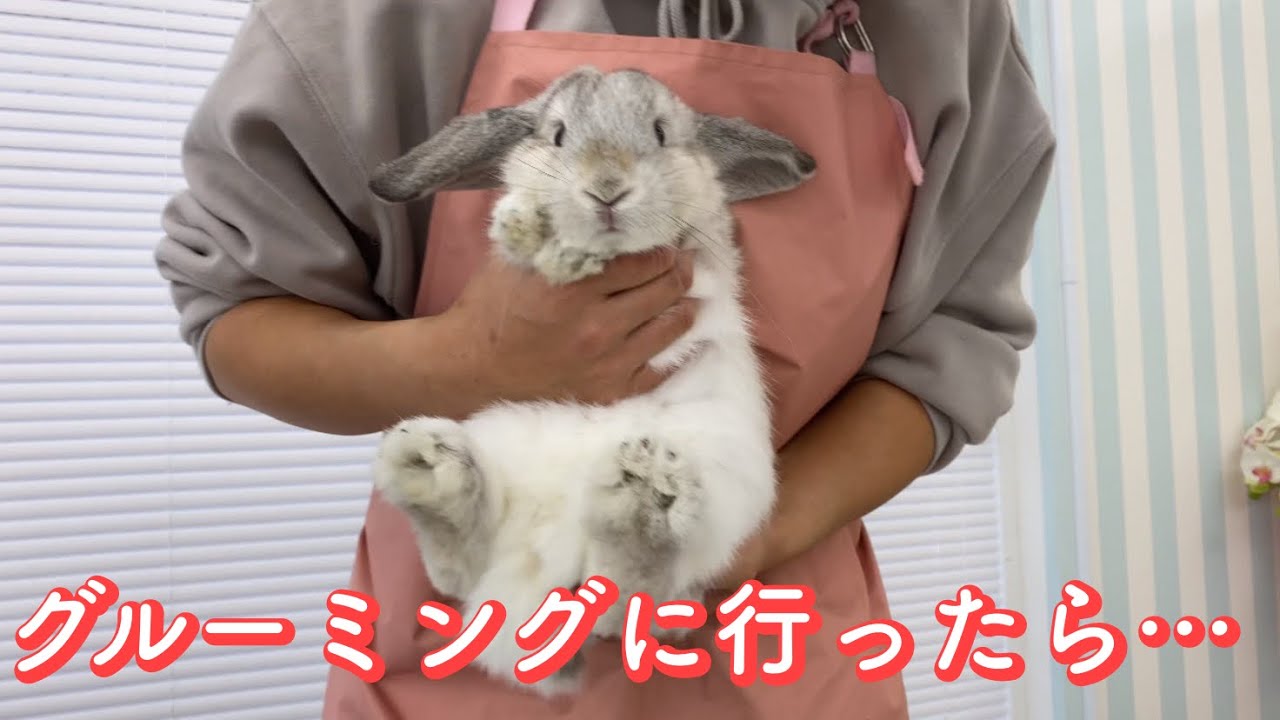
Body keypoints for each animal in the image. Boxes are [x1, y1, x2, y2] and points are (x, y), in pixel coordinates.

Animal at [366, 66, 816, 696]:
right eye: (557, 136)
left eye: (658, 133)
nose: (606, 187)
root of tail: (545, 555)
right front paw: (531, 229)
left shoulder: (704, 252)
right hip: (503, 445)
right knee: (460, 567)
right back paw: (432, 473)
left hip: (724, 494)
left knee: (632, 601)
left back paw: (642, 502)